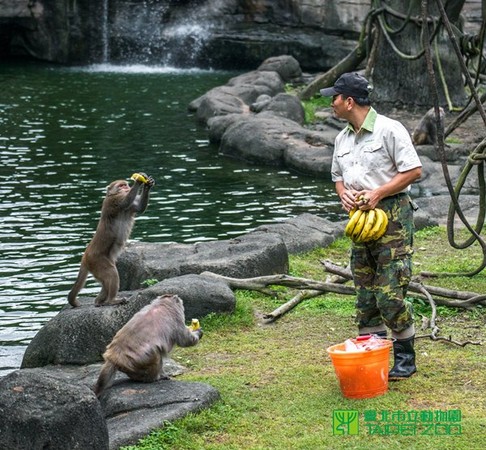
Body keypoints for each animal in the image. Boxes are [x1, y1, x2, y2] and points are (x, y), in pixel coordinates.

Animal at [67, 171, 155, 306]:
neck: (114, 194)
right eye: (121, 186)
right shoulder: (113, 201)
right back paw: (111, 300)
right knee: (112, 274)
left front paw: (148, 184)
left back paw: (99, 301)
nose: (127, 188)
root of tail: (85, 256)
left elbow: (140, 208)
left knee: (106, 282)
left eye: (125, 185)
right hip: (97, 261)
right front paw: (138, 182)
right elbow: (126, 201)